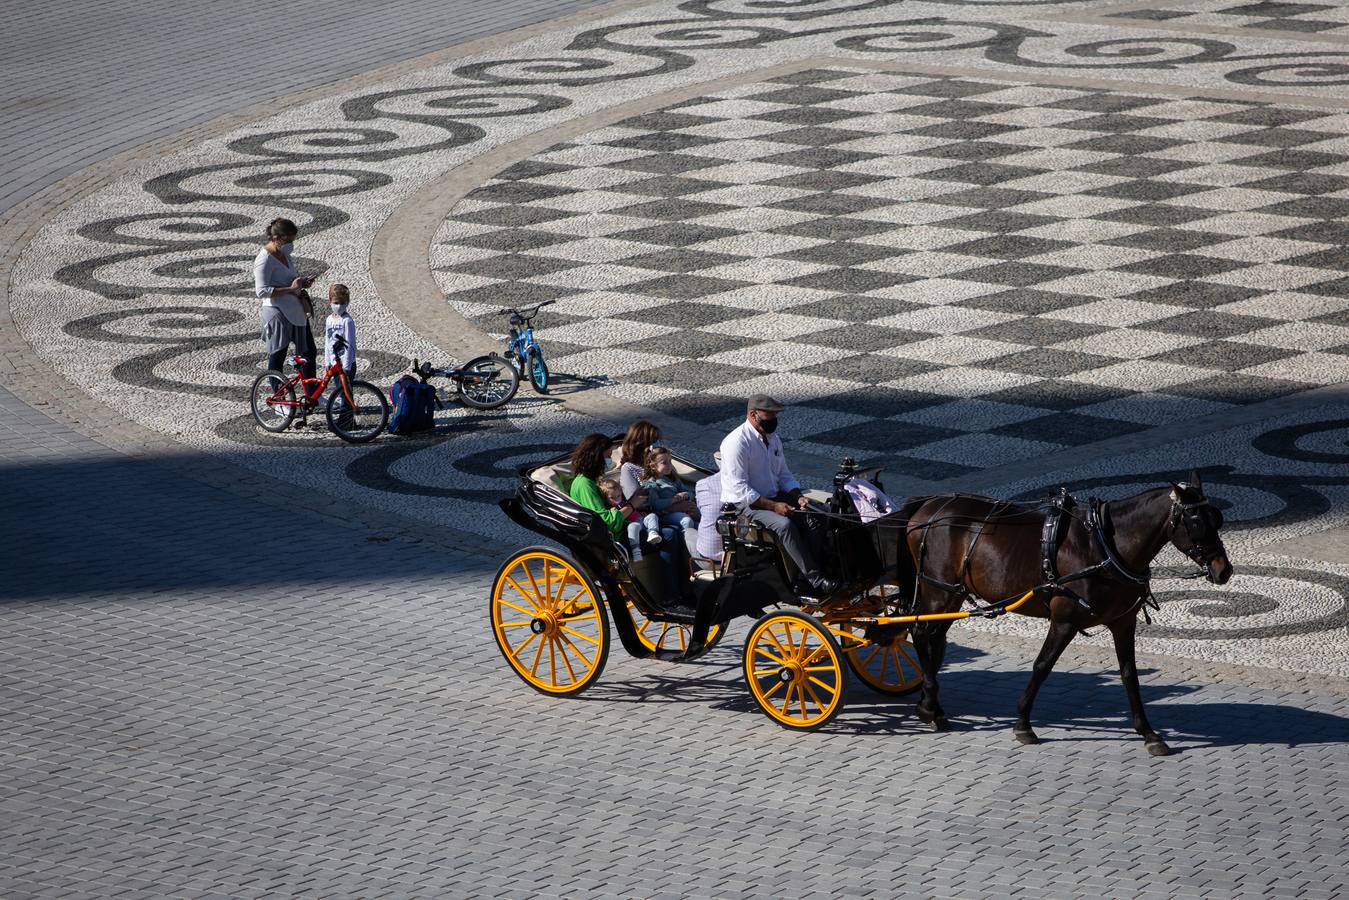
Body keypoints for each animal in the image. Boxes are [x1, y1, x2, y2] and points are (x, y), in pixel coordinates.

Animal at [901, 474, 1230, 755]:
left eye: (1216, 517)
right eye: (1196, 521)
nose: (1223, 570)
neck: (1105, 546)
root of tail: (928, 506)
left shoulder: (1124, 622)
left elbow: (1129, 675)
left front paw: (1148, 733)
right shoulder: (1065, 621)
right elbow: (1042, 666)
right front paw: (1023, 724)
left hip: (952, 594)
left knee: (935, 639)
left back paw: (931, 705)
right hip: (939, 591)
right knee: (920, 633)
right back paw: (929, 705)